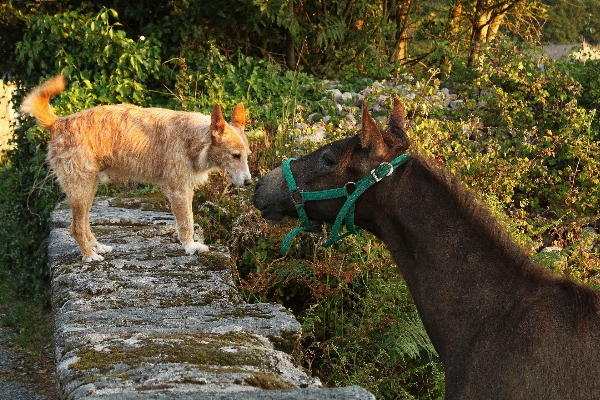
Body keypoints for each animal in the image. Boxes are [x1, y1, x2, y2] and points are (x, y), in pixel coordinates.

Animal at [22, 75, 252, 262]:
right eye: (235, 156)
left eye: (247, 155)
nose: (249, 182)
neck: (194, 138)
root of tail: (59, 123)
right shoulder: (179, 191)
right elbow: (186, 221)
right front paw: (190, 247)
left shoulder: (187, 190)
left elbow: (189, 218)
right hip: (81, 187)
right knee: (76, 227)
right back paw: (89, 256)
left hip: (89, 187)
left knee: (84, 223)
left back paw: (97, 247)